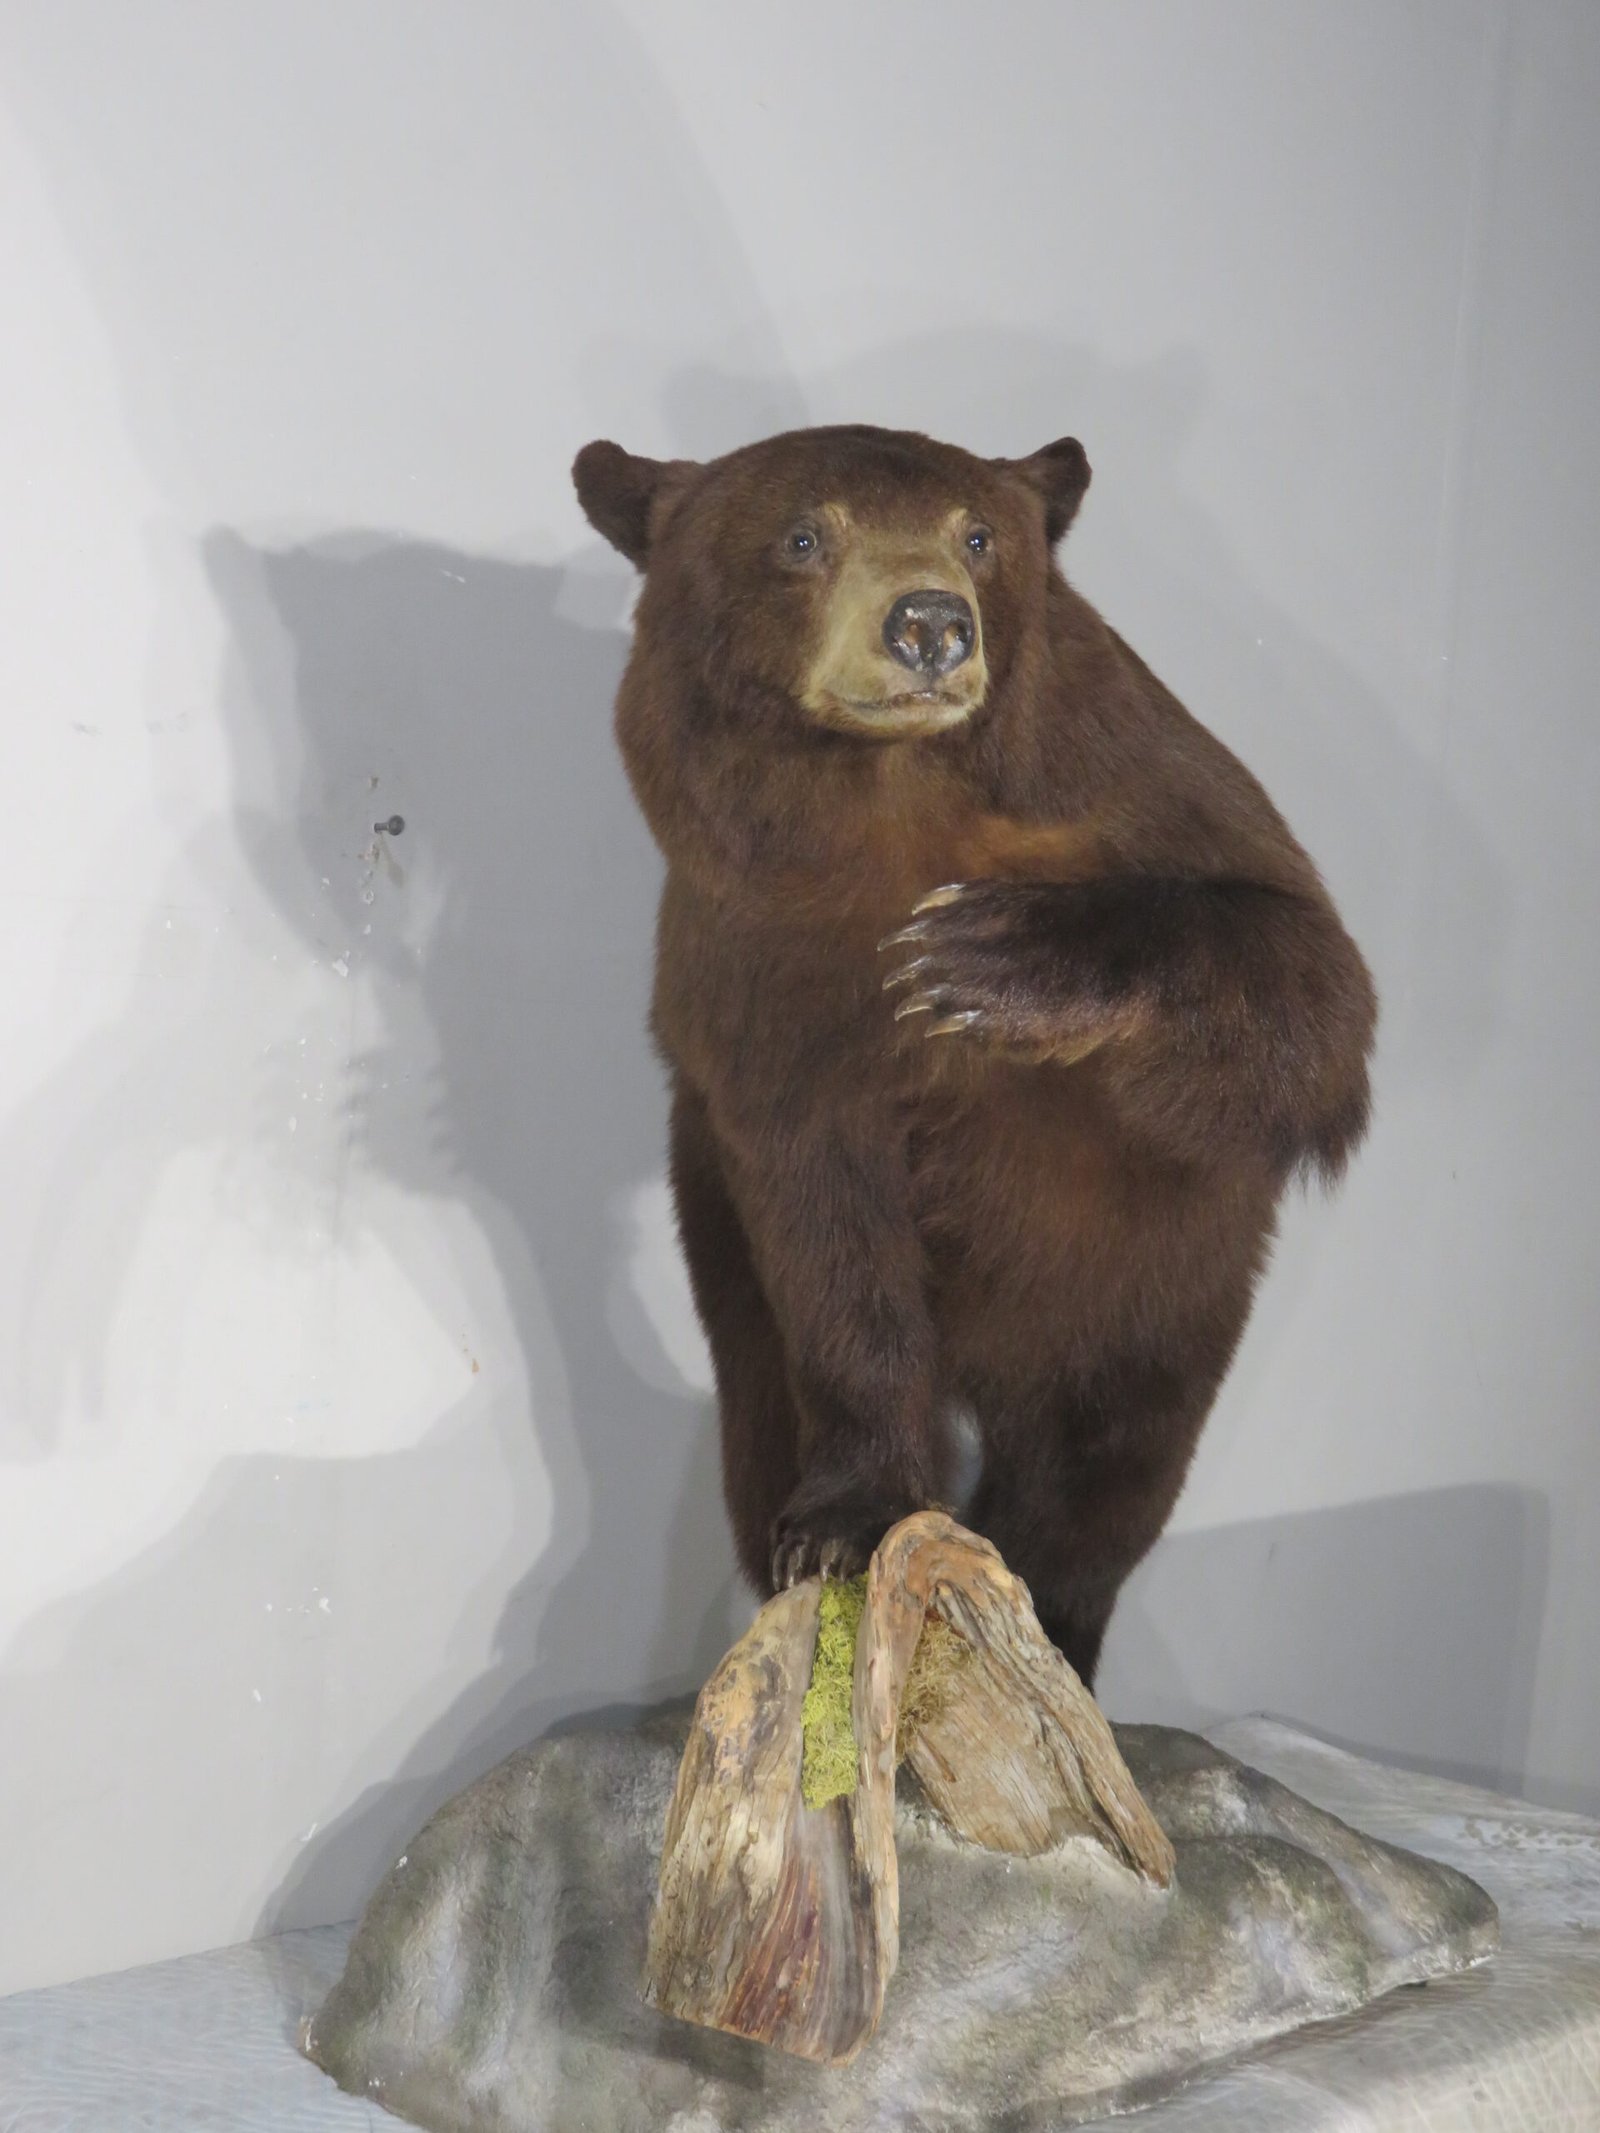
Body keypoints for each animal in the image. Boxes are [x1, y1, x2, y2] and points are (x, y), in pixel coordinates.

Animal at [572, 423, 1376, 1690]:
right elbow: (825, 1232)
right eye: (803, 536)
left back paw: (1054, 1619)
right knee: (756, 1406)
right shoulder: (756, 964)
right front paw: (847, 1520)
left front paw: (979, 960)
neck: (895, 794)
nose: (929, 623)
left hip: (1154, 1285)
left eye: (979, 534)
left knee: (1109, 1462)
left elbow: (1312, 995)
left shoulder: (1148, 787)